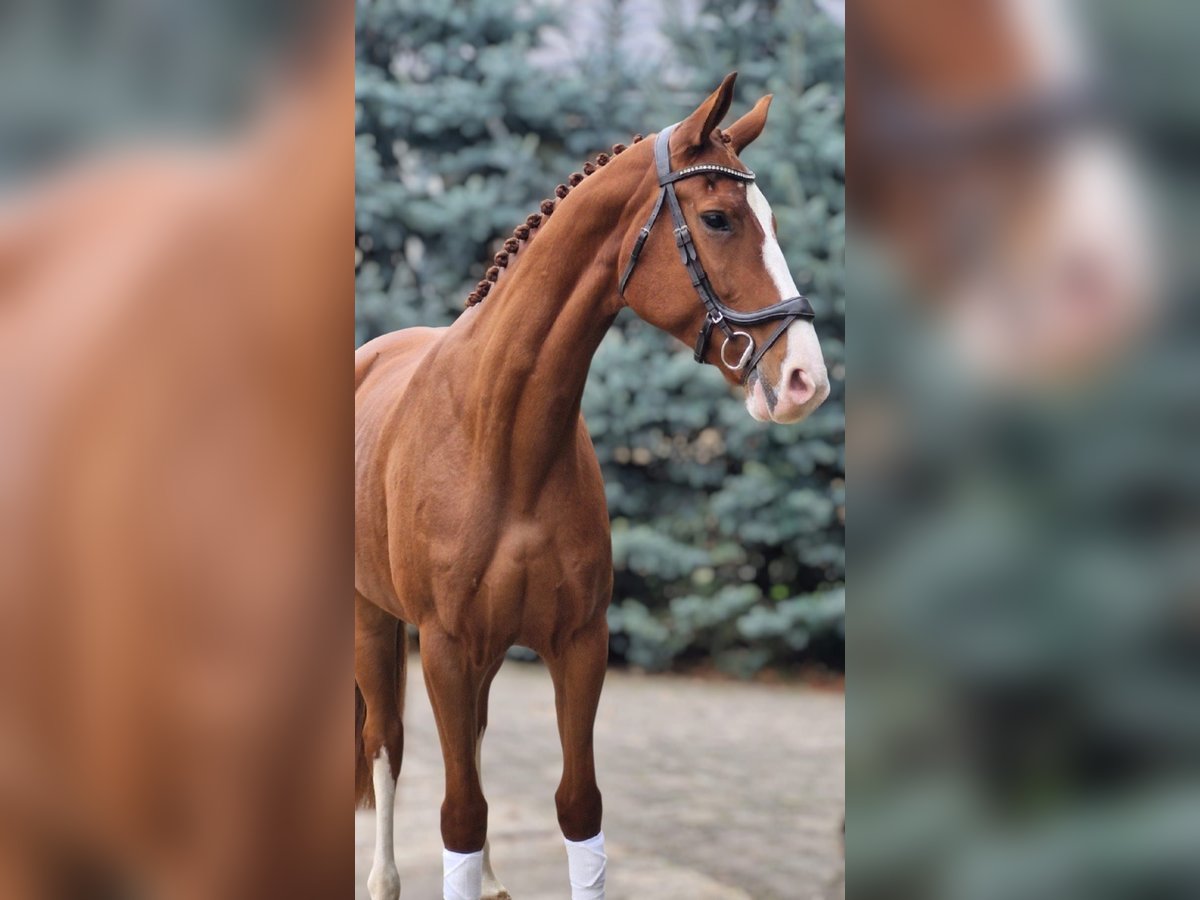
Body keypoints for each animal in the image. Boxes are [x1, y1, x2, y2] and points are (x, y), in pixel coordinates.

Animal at [354, 73, 830, 900]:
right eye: (718, 218)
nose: (806, 377)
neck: (499, 438)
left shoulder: (580, 643)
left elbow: (578, 808)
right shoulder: (443, 646)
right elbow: (458, 815)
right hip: (372, 622)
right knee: (387, 742)